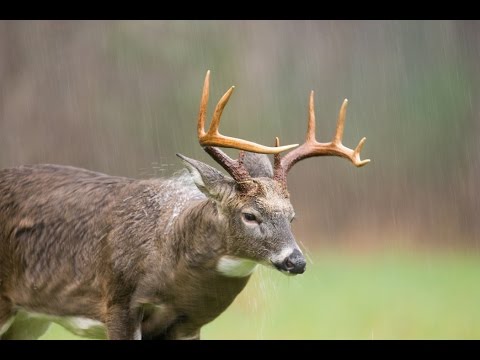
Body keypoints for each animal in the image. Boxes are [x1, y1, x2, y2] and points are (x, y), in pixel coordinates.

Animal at [0, 71, 372, 340]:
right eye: (250, 215)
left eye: (292, 217)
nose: (296, 261)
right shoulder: (117, 303)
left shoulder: (189, 323)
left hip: (30, 318)